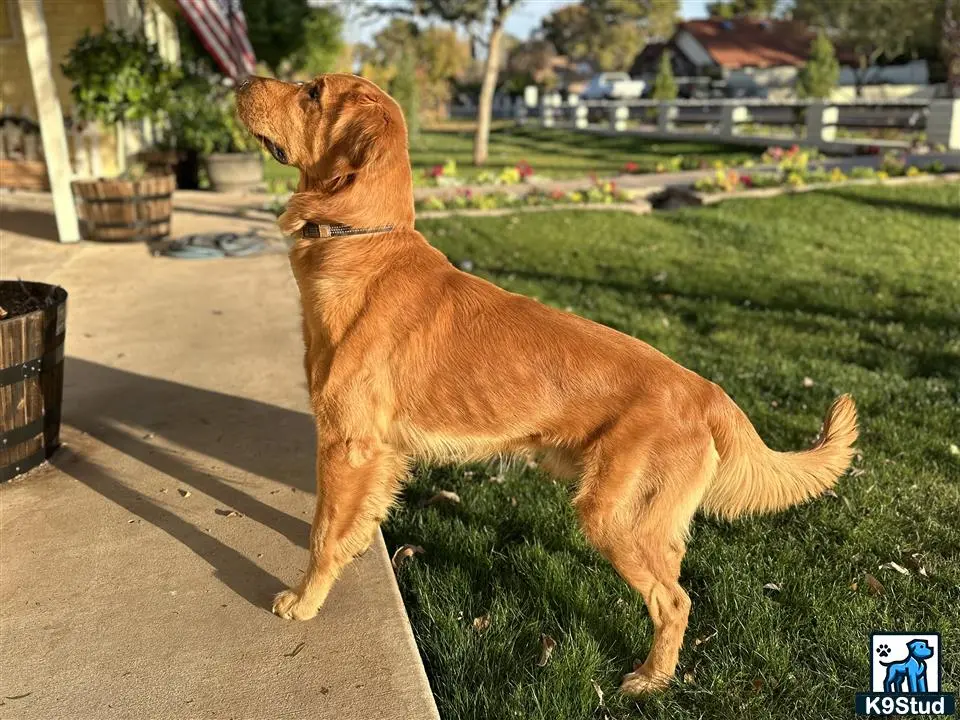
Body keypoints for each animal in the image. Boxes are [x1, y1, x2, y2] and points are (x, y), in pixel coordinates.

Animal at [236, 76, 860, 696]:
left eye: (313, 93)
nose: (239, 81)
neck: (360, 242)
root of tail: (705, 389)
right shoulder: (380, 453)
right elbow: (355, 524)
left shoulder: (347, 445)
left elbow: (322, 534)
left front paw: (303, 601)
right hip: (644, 518)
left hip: (613, 517)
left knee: (674, 601)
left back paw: (651, 678)